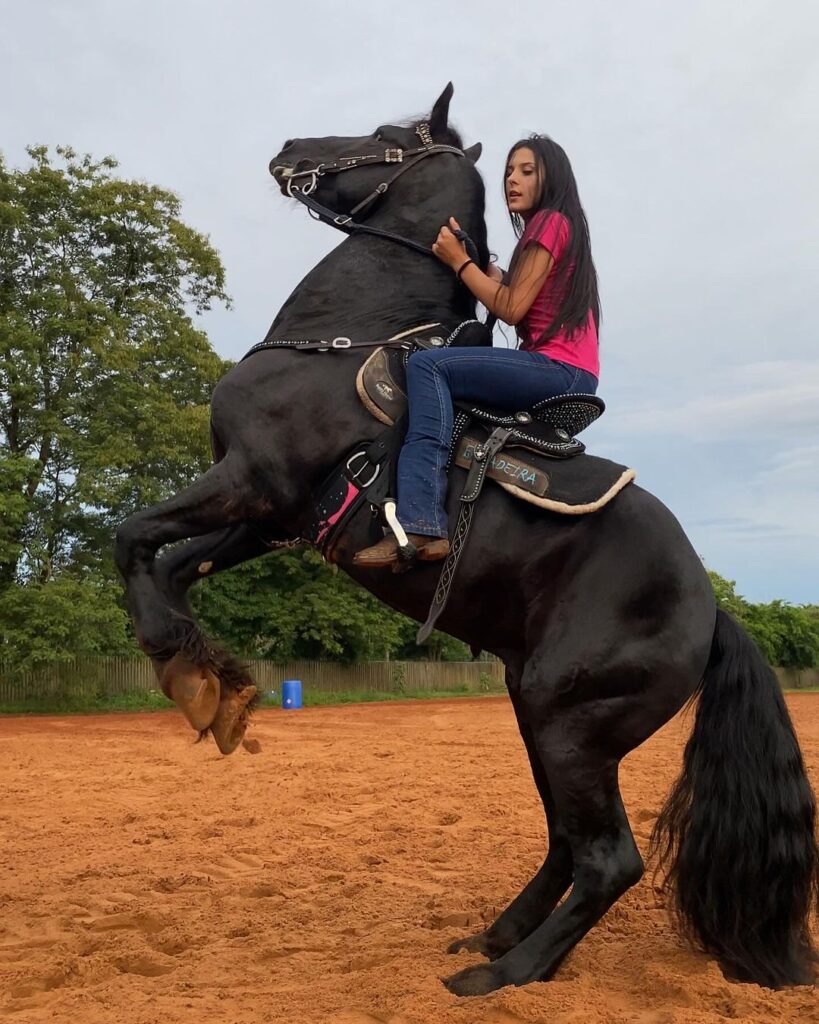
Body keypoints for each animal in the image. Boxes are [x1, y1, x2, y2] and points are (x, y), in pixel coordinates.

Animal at [115, 84, 818, 995]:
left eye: (386, 133)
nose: (290, 149)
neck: (343, 340)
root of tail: (707, 611)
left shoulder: (251, 481)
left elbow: (129, 536)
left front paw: (183, 667)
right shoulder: (273, 514)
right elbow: (171, 561)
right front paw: (214, 686)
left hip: (568, 723)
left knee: (607, 859)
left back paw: (506, 971)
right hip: (538, 713)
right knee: (566, 844)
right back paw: (496, 938)